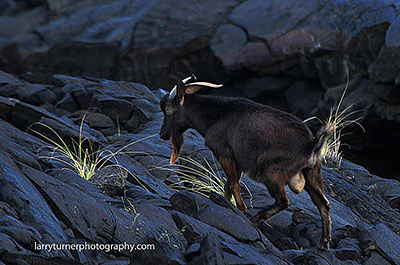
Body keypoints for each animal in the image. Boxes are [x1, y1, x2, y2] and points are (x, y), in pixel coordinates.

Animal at [158, 75, 332, 249]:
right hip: (312, 173)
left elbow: (233, 183)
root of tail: (311, 144)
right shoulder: (237, 160)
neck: (215, 116)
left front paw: (241, 209)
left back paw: (255, 219)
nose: (162, 134)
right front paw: (228, 203)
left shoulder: (224, 152)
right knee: (323, 203)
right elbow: (229, 184)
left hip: (272, 172)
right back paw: (324, 243)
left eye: (167, 110)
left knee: (283, 201)